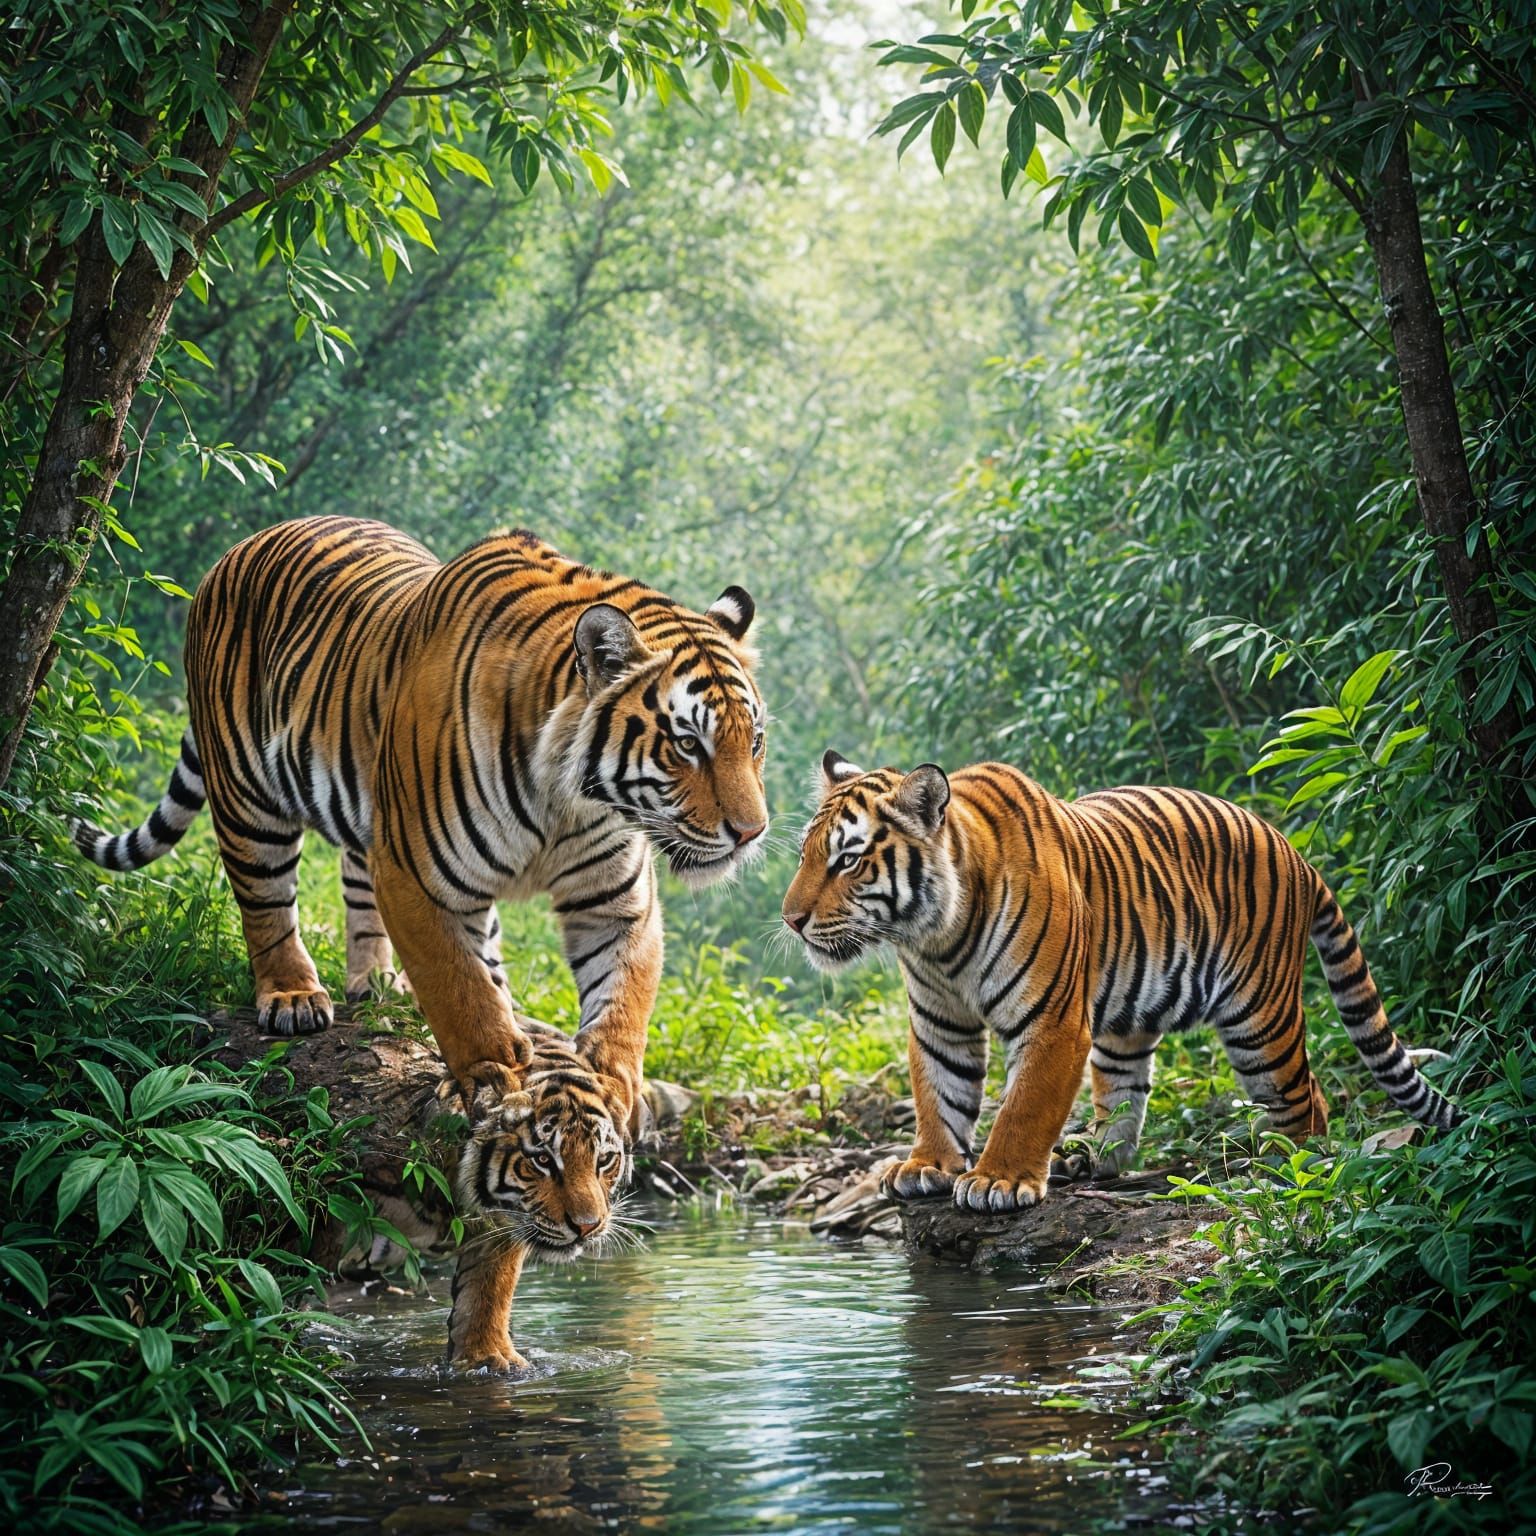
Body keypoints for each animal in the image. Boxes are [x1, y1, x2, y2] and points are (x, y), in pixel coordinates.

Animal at [71, 516, 769, 1123]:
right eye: (688, 744)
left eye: (754, 741)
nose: (751, 833)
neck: (567, 800)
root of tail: (241, 545)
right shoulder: (415, 877)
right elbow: (459, 988)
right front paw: (494, 1079)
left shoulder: (615, 900)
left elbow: (621, 1004)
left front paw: (614, 1091)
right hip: (248, 794)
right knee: (266, 901)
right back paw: (294, 996)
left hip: (368, 817)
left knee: (366, 887)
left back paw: (380, 984)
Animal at [782, 752, 1463, 1212]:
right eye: (807, 856)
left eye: (848, 860)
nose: (791, 919)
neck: (937, 937)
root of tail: (1295, 851)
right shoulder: (939, 1023)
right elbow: (938, 1096)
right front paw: (927, 1166)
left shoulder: (1053, 1021)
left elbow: (1024, 1105)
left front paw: (997, 1179)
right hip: (1129, 1024)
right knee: (1126, 1102)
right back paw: (1091, 1161)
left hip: (1259, 1020)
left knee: (1310, 1100)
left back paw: (1290, 1167)